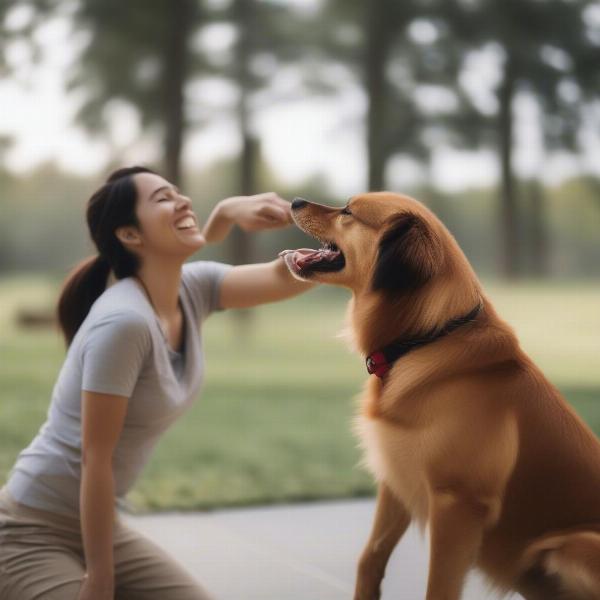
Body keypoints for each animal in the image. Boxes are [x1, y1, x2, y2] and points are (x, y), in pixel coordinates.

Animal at [280, 193, 600, 600]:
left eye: (348, 211)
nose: (295, 200)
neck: (426, 338)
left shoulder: (455, 506)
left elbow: (438, 588)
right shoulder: (396, 480)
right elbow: (370, 558)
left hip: (574, 546)